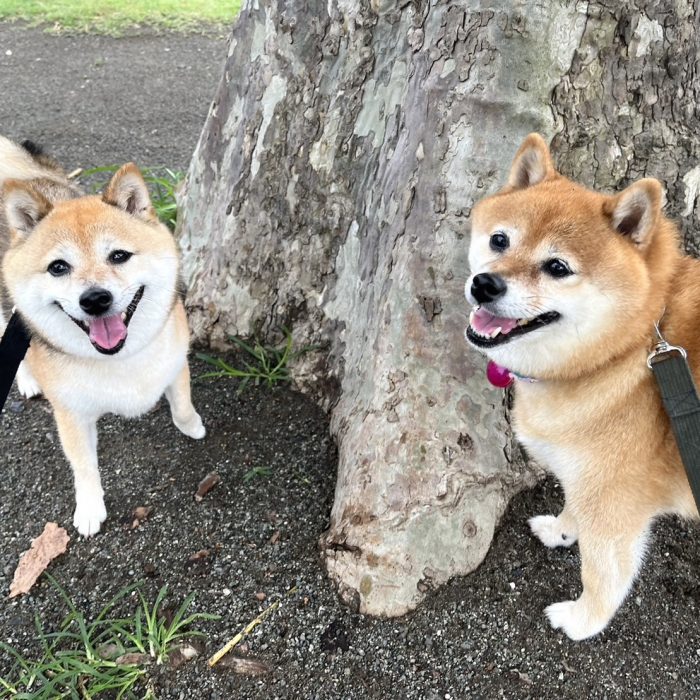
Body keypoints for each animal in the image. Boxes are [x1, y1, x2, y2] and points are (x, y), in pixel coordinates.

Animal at [1, 137, 205, 536]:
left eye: (119, 256)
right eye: (58, 267)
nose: (95, 299)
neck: (120, 357)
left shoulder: (176, 364)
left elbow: (183, 404)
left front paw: (192, 426)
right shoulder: (71, 415)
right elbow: (83, 466)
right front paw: (90, 508)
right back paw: (28, 379)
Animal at [464, 131, 700, 640]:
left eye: (557, 267)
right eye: (499, 240)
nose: (485, 284)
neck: (626, 349)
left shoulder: (614, 510)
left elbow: (601, 573)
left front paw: (582, 620)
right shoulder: (587, 480)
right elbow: (573, 508)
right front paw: (561, 530)